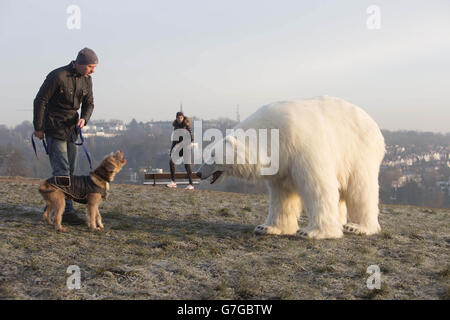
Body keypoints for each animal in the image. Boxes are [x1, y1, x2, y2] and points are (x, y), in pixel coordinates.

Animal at [198, 96, 386, 239]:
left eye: (212, 155)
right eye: (207, 153)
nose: (199, 173)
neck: (273, 134)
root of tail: (375, 125)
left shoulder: (302, 146)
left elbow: (318, 186)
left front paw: (312, 232)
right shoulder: (281, 163)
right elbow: (282, 195)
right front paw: (267, 227)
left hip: (359, 151)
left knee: (360, 188)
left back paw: (358, 227)